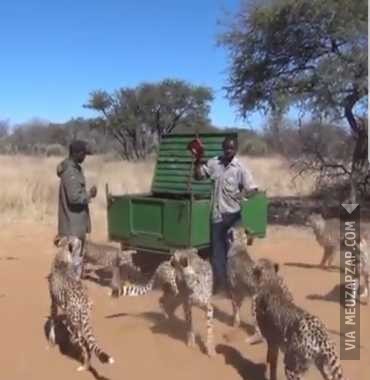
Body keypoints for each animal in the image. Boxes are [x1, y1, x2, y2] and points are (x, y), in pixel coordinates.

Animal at [47, 236, 114, 372]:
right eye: (75, 241)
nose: (81, 241)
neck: (63, 254)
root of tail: (82, 301)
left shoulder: (53, 302)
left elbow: (52, 320)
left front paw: (51, 340)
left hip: (74, 325)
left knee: (86, 345)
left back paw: (84, 366)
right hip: (83, 319)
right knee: (87, 341)